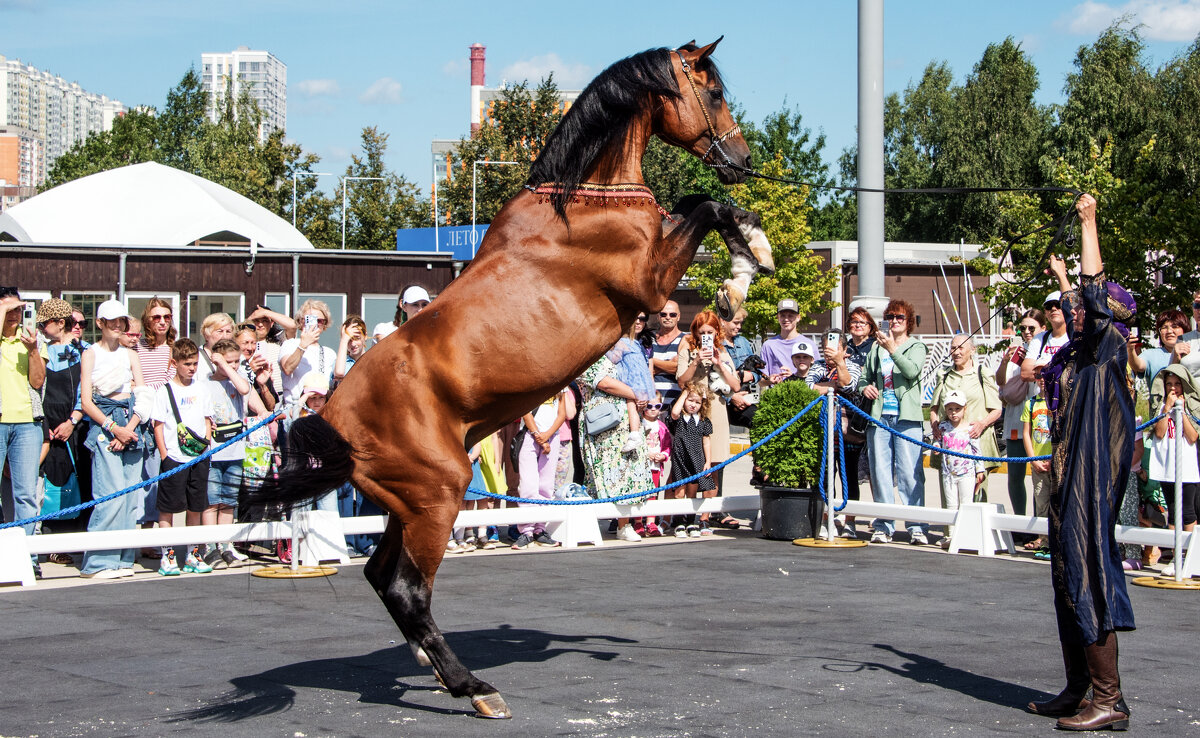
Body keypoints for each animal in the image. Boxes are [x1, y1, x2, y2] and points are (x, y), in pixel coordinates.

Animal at [256, 37, 772, 720]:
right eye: (712, 92)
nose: (741, 161)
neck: (581, 201)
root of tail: (331, 417)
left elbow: (694, 205)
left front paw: (752, 249)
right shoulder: (649, 283)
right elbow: (704, 207)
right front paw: (747, 266)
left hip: (407, 501)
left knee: (384, 580)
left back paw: (434, 667)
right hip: (439, 493)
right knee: (407, 588)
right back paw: (474, 688)